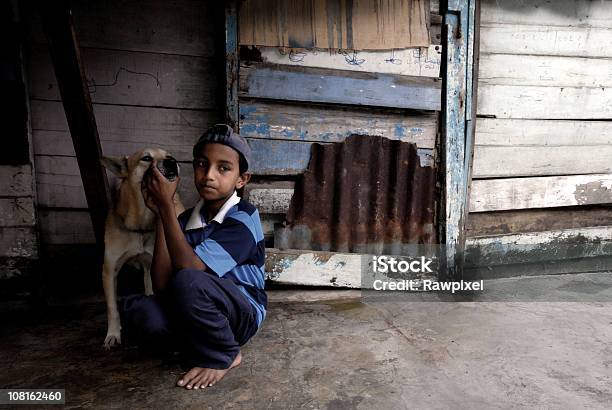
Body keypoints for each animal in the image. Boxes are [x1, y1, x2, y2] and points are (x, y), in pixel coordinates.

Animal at [101, 149, 184, 348]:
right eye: (146, 158)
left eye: (168, 155)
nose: (172, 161)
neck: (140, 224)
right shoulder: (109, 270)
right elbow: (112, 307)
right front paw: (113, 334)